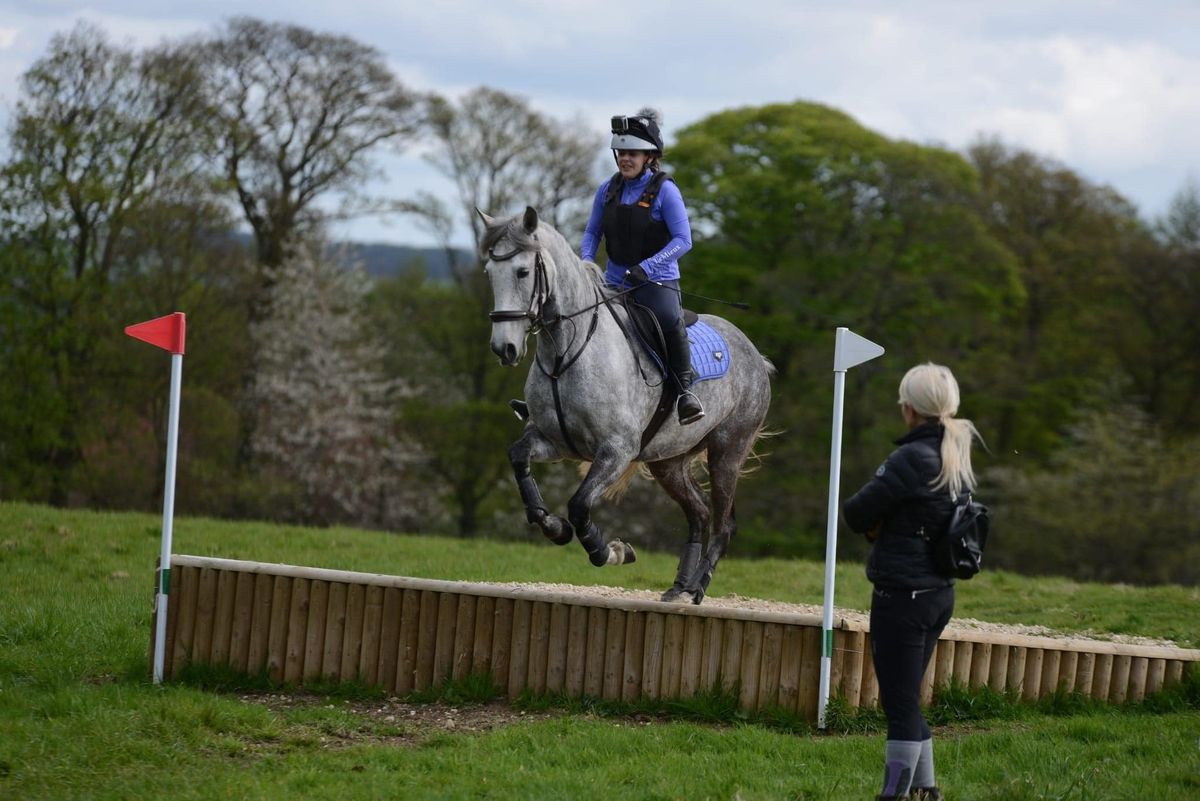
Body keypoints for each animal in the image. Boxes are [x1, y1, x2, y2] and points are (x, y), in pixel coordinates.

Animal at [482, 209, 772, 604]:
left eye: (523, 272)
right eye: (489, 272)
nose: (504, 348)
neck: (565, 353)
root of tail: (755, 354)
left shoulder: (616, 450)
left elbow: (579, 504)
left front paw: (609, 551)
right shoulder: (553, 441)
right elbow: (518, 458)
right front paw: (554, 527)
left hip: (728, 450)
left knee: (724, 522)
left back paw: (696, 587)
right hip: (668, 461)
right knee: (698, 512)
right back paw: (678, 587)